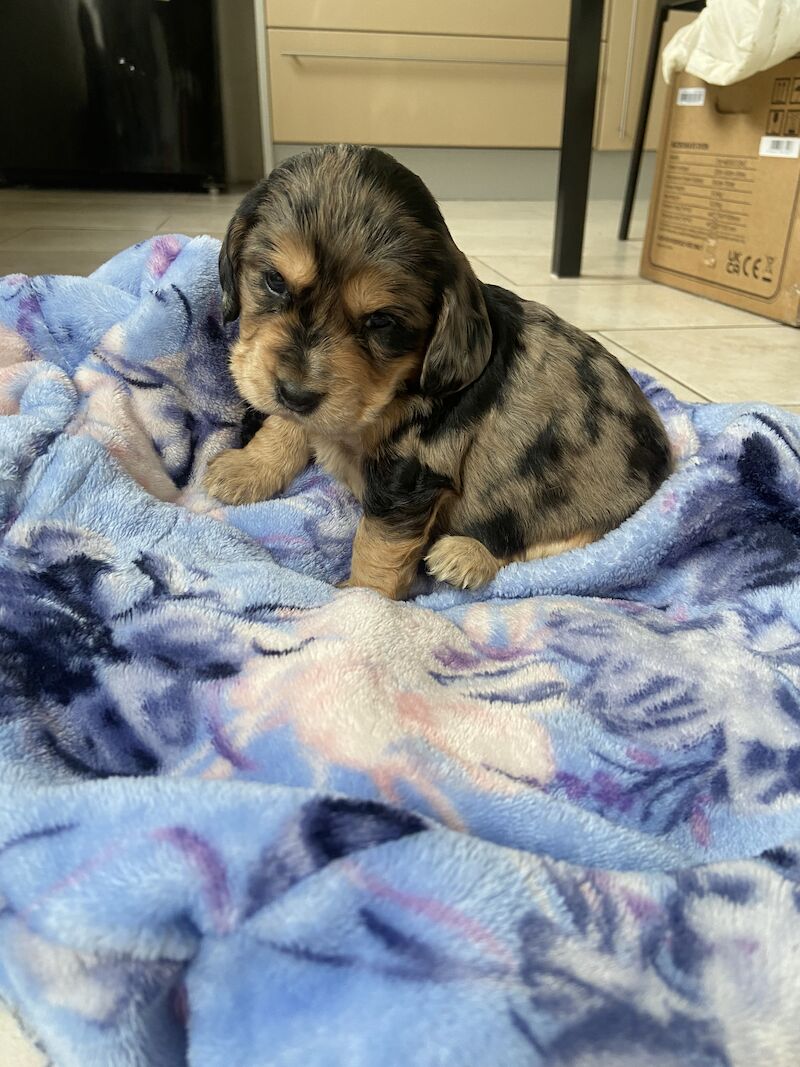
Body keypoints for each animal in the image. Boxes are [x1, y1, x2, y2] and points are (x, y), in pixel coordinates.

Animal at [203, 144, 674, 601]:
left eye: (382, 321)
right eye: (275, 281)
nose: (296, 393)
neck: (397, 386)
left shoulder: (410, 475)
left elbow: (379, 543)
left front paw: (361, 602)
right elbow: (286, 423)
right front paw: (249, 468)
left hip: (581, 511)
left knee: (554, 549)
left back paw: (466, 556)